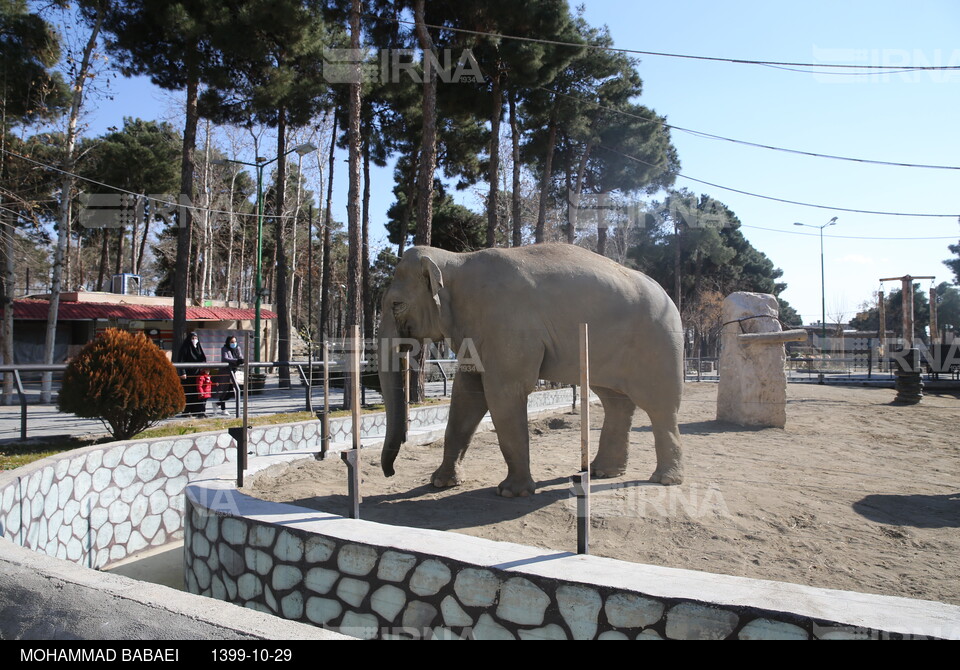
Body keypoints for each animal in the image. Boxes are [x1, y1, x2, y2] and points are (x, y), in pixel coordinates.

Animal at [376, 245, 684, 498]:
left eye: (396, 304)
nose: (390, 473)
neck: (456, 259)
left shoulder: (508, 327)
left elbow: (503, 393)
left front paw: (512, 492)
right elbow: (466, 395)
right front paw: (441, 483)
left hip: (660, 343)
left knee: (659, 406)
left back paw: (665, 479)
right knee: (615, 402)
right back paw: (602, 472)